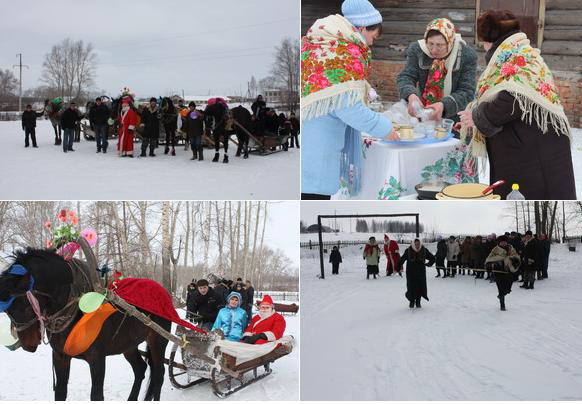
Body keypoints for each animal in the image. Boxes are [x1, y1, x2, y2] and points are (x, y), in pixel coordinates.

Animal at [0, 249, 172, 400]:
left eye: (26, 305)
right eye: (7, 311)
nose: (28, 345)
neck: (76, 307)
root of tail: (163, 291)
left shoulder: (97, 359)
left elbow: (96, 395)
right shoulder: (60, 357)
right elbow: (60, 392)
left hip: (158, 341)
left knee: (159, 375)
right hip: (128, 344)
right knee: (140, 369)